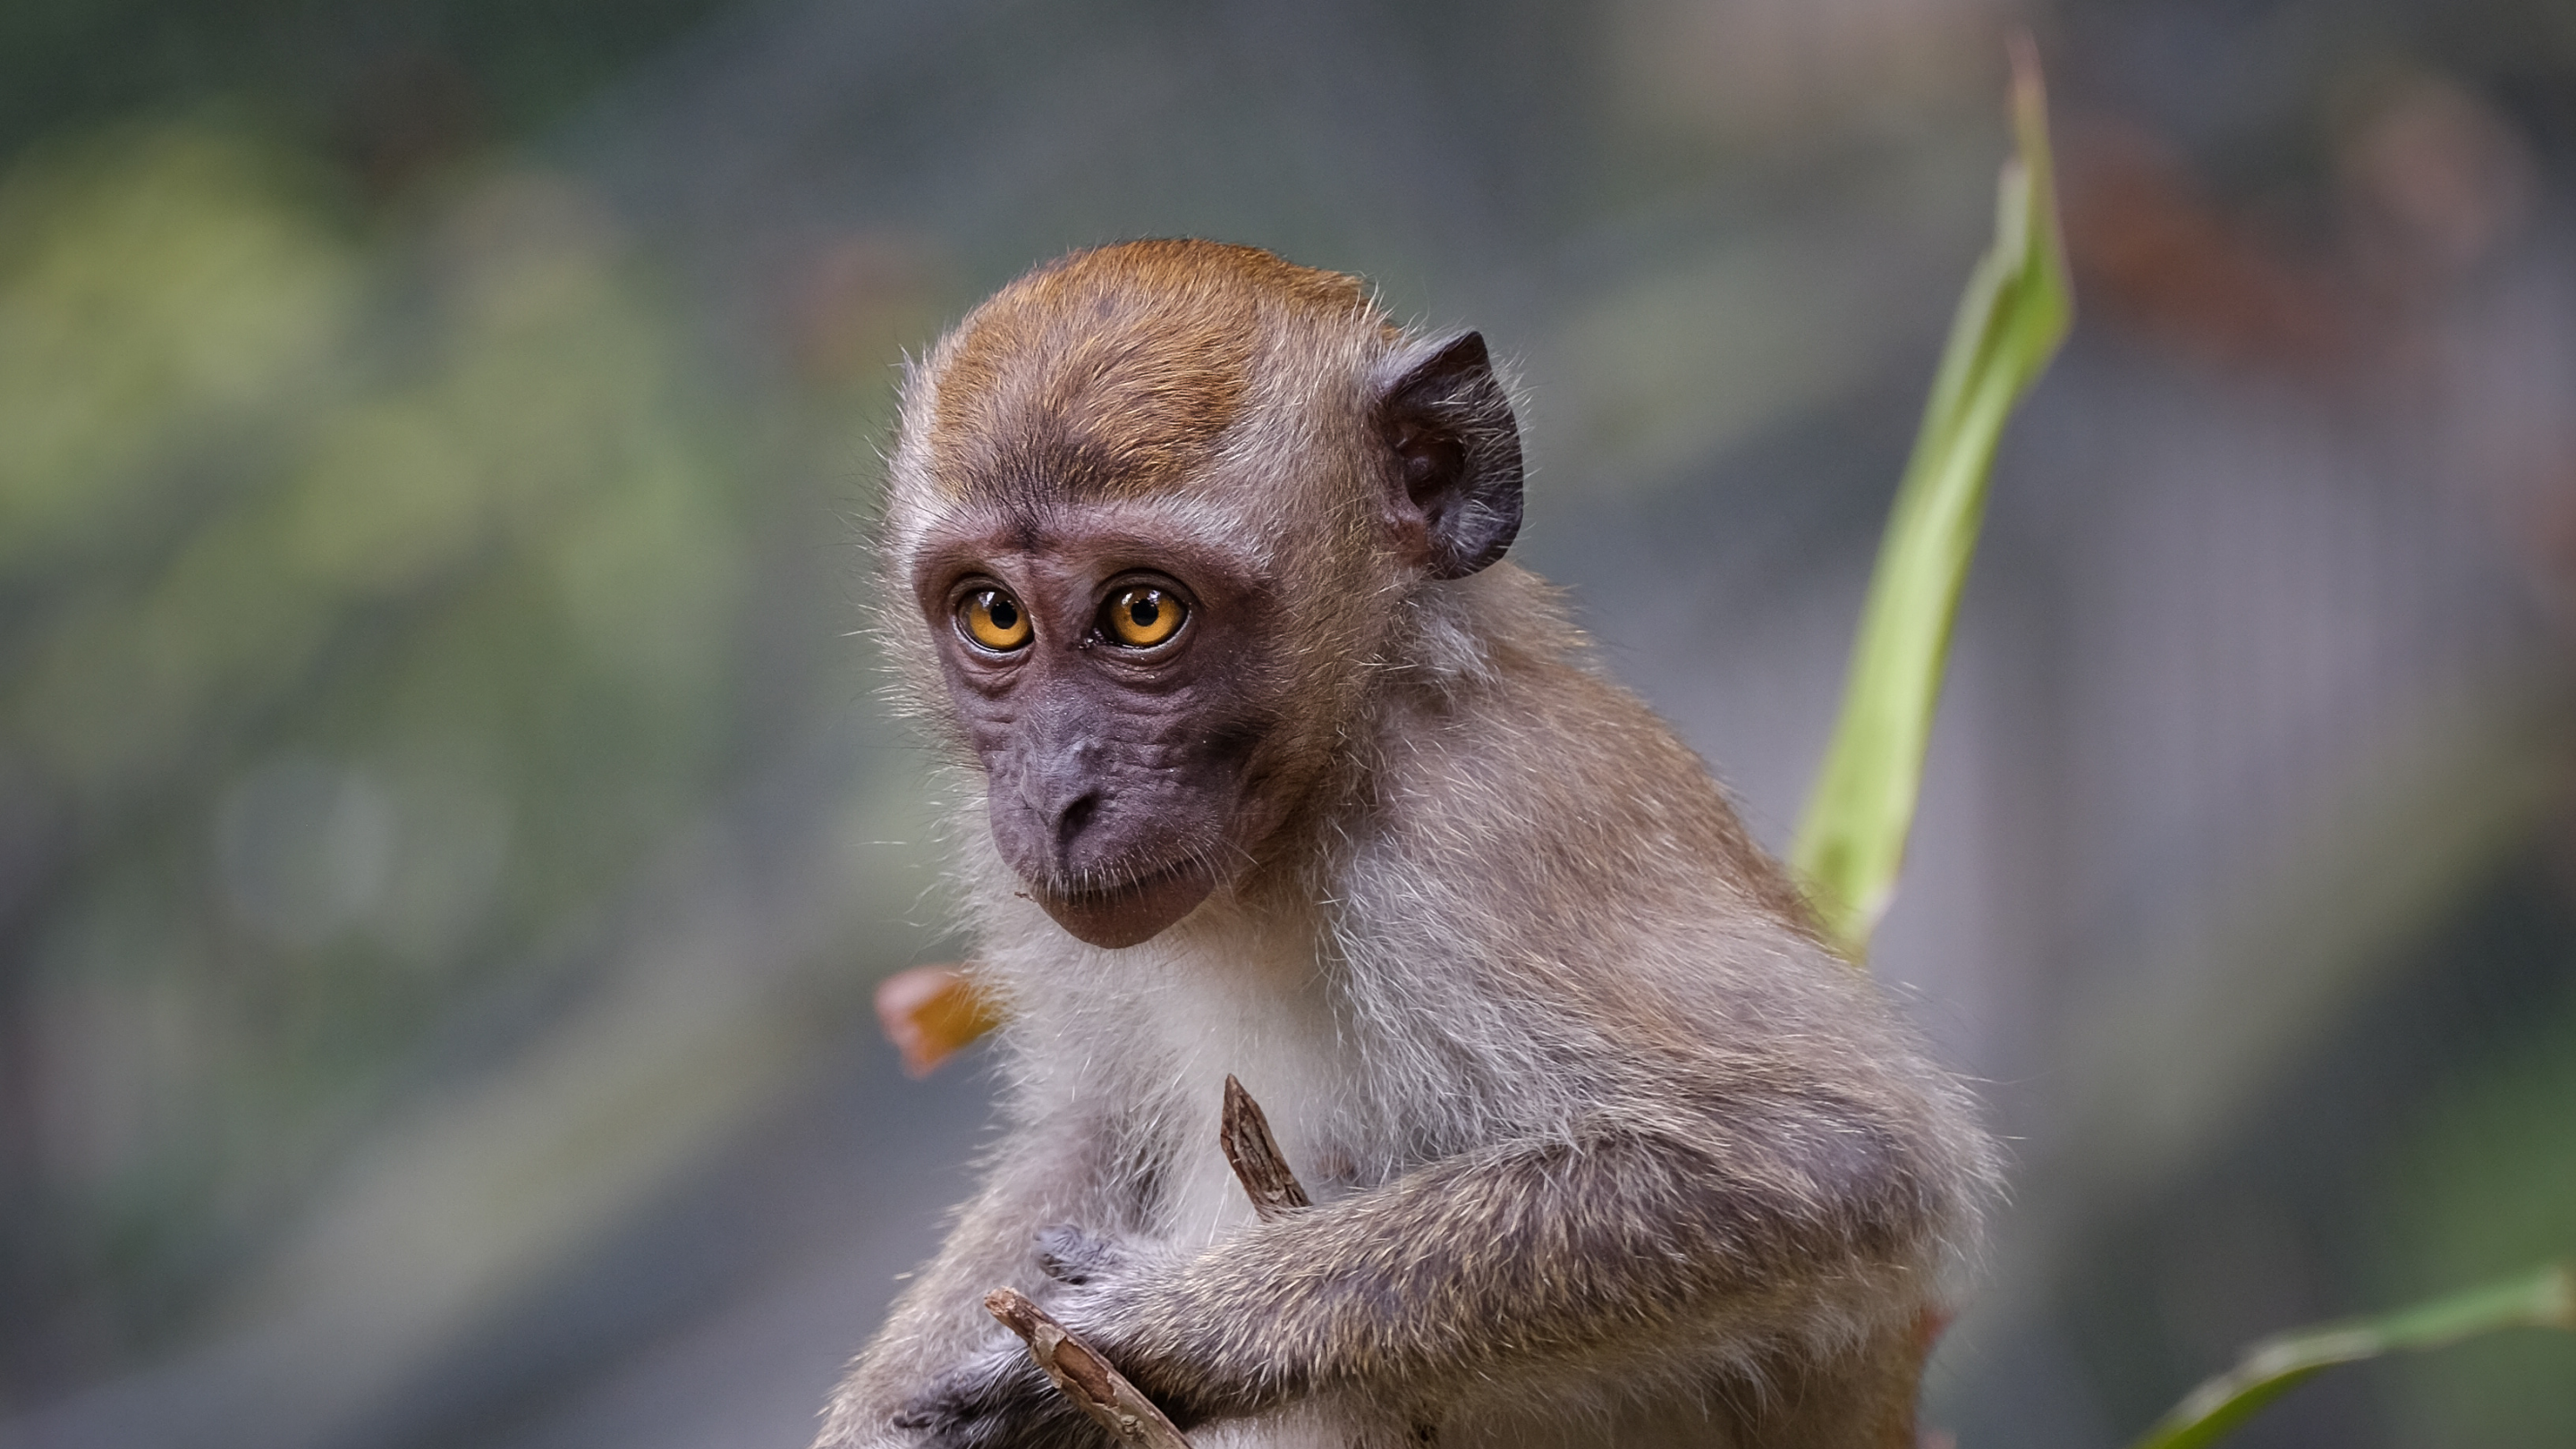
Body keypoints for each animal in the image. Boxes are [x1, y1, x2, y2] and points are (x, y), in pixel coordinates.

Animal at [818, 240, 1988, 1444]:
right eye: (994, 615)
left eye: (1144, 613)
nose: (1055, 794)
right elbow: (1088, 1131)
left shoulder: (1491, 823)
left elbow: (1829, 1156)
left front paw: (1149, 1331)